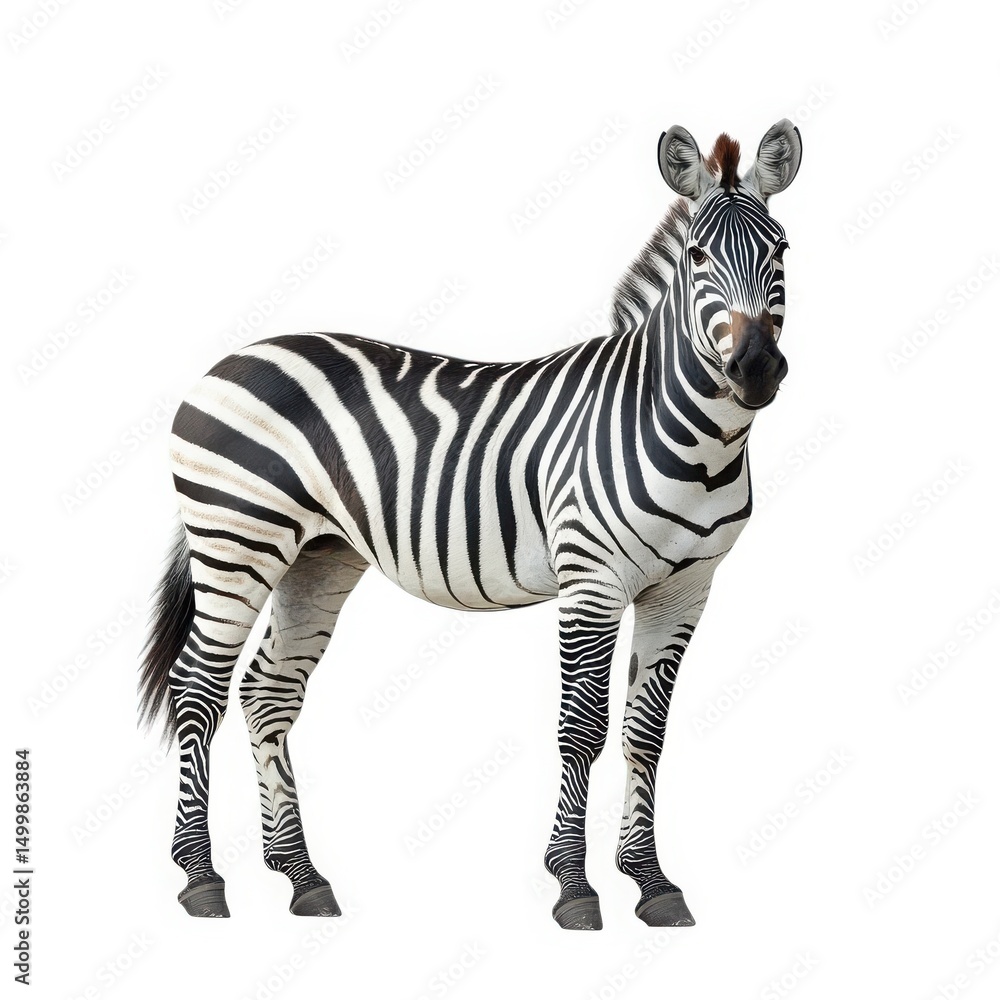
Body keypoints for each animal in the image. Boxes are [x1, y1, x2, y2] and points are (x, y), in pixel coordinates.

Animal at [139, 119, 802, 930]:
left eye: (782, 249)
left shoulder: (684, 590)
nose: (757, 368)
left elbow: (645, 735)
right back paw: (201, 877)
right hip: (237, 537)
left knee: (267, 692)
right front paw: (574, 885)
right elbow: (582, 728)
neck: (685, 433)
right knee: (195, 688)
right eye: (698, 256)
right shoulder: (591, 580)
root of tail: (230, 358)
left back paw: (301, 877)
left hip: (318, 555)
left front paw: (651, 881)